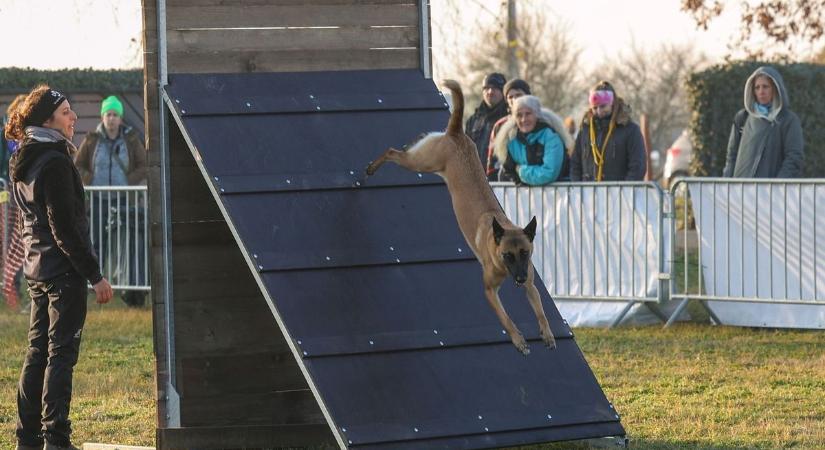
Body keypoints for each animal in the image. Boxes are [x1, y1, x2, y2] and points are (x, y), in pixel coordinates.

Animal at [366, 80, 552, 356]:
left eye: (525, 253)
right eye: (508, 255)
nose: (518, 278)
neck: (496, 241)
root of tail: (456, 134)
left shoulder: (530, 284)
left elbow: (540, 310)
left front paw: (547, 333)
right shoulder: (489, 290)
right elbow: (506, 318)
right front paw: (519, 340)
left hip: (426, 157)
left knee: (407, 147)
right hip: (423, 163)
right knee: (392, 152)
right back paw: (372, 168)